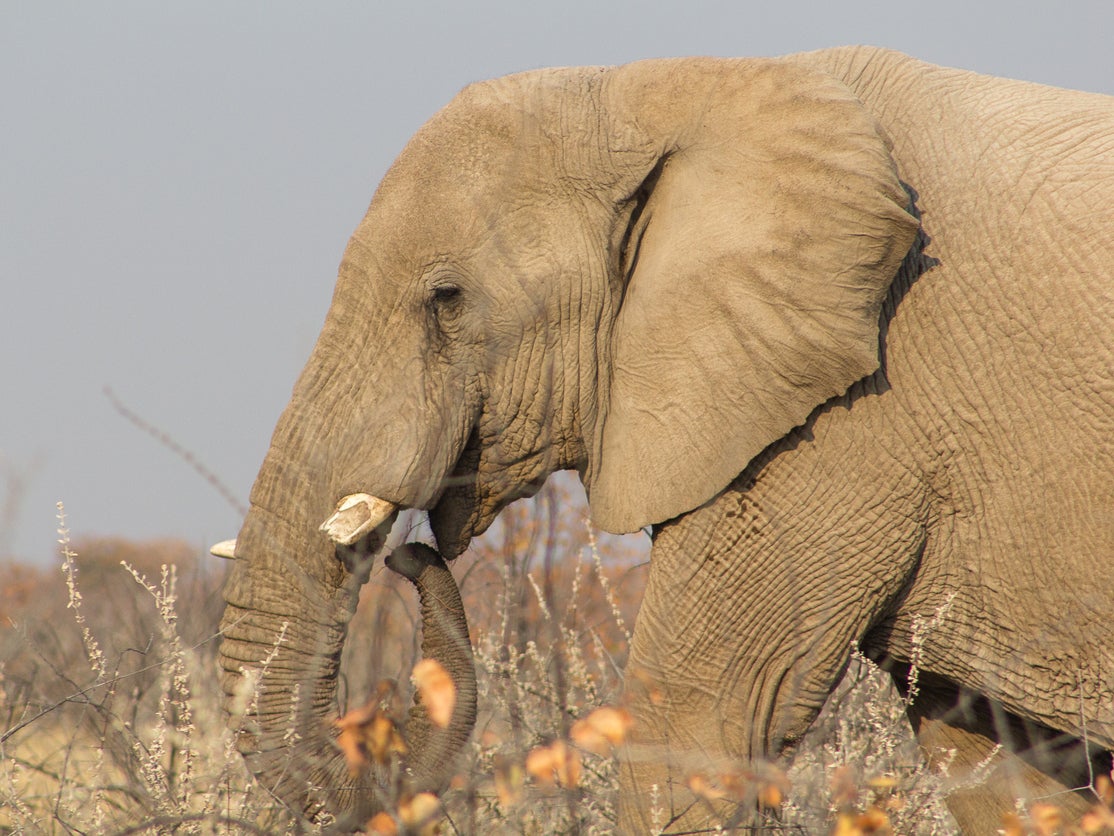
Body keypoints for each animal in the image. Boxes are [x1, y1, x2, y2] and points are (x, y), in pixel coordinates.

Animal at [217, 47, 1114, 836]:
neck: (652, 94)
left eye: (447, 299)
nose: (412, 557)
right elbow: (999, 766)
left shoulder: (844, 417)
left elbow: (701, 722)